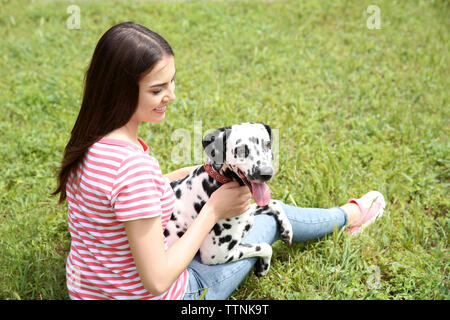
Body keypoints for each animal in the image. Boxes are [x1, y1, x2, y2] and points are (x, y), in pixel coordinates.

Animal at [164, 122, 292, 278]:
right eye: (242, 149)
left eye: (267, 145)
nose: (267, 173)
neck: (216, 181)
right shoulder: (217, 254)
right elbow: (266, 246)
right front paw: (263, 268)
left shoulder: (247, 210)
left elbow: (274, 202)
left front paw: (287, 229)